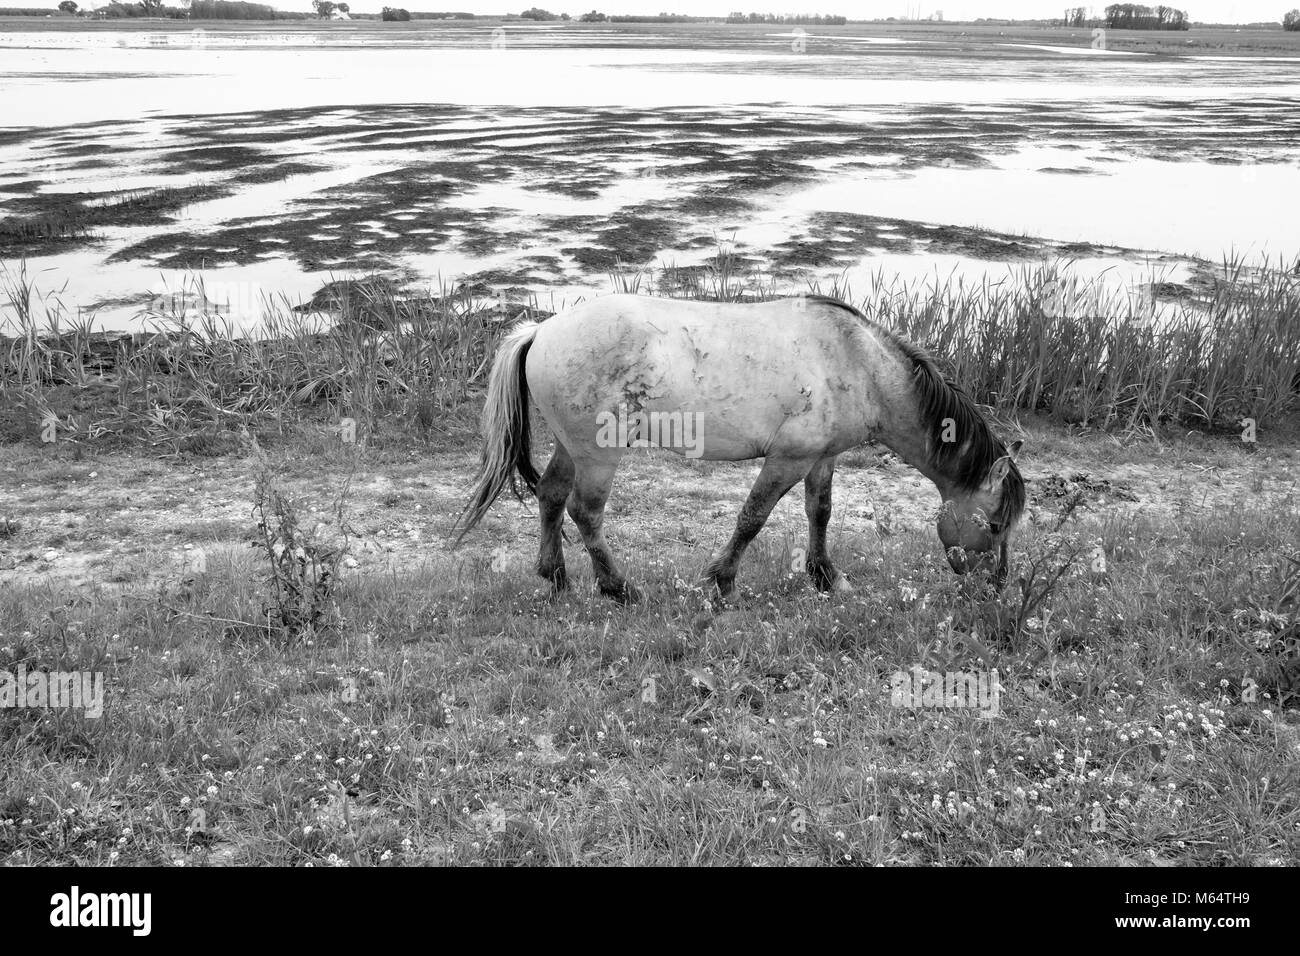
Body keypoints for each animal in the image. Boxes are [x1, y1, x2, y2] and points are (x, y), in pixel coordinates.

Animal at [457, 293, 1024, 606]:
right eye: (996, 525)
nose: (994, 588)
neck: (859, 363)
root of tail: (541, 330)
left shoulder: (822, 458)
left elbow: (820, 512)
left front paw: (827, 577)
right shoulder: (788, 459)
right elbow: (753, 517)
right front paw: (723, 581)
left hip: (571, 448)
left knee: (552, 497)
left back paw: (556, 578)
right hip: (599, 454)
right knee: (585, 511)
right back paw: (619, 589)